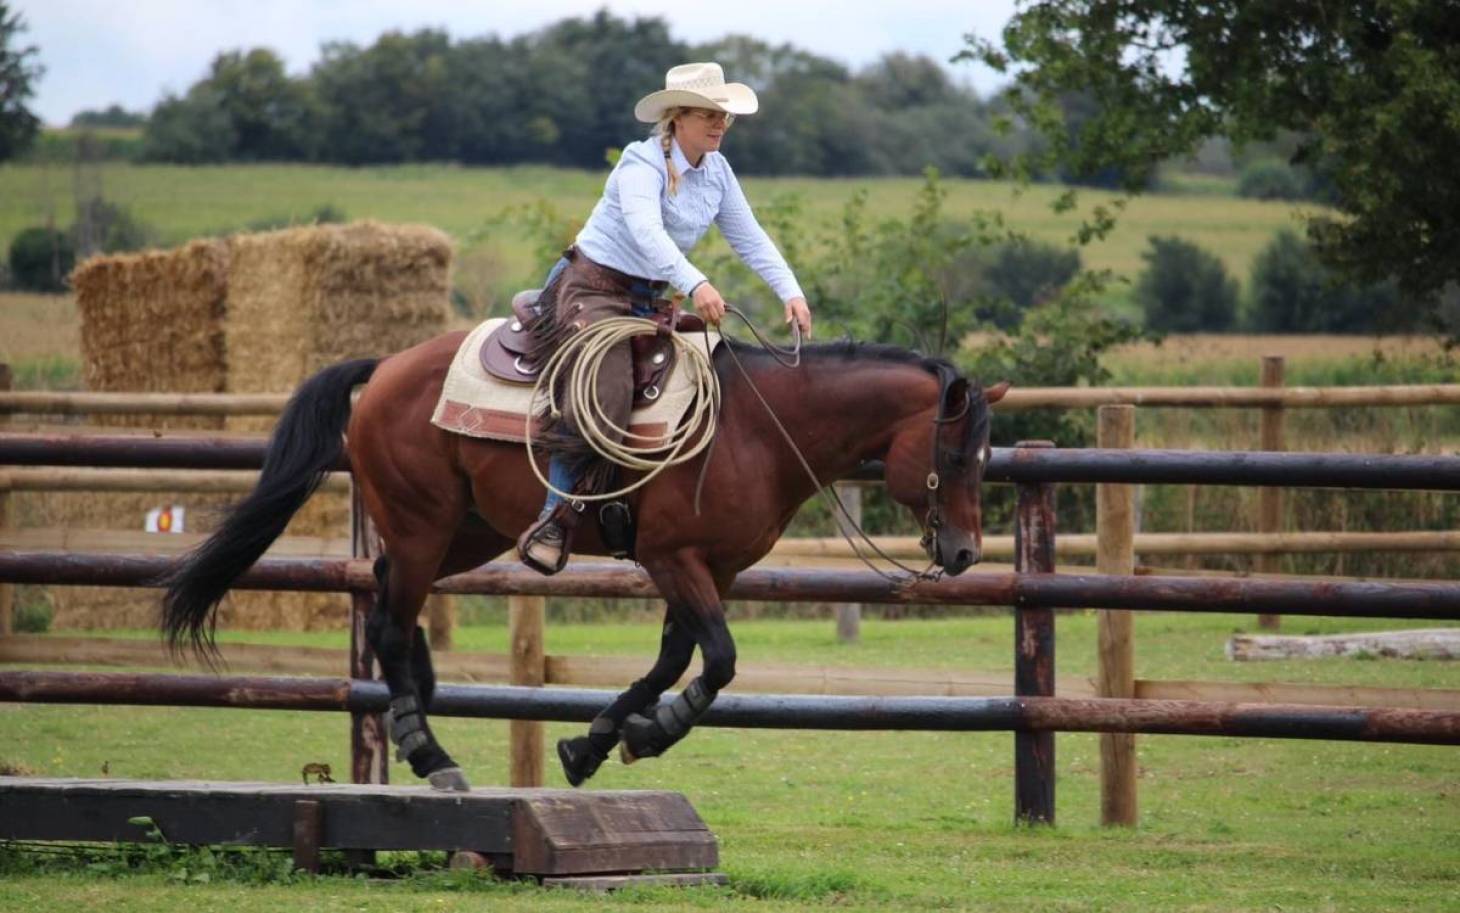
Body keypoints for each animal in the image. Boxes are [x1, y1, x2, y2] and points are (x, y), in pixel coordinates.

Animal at [159, 328, 1004, 788]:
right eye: (954, 452)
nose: (964, 550)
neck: (758, 429)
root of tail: (390, 365)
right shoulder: (673, 557)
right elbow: (718, 657)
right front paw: (644, 734)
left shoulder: (712, 568)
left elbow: (674, 661)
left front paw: (596, 742)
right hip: (424, 524)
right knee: (392, 620)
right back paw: (431, 753)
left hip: (467, 531)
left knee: (386, 594)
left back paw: (417, 701)